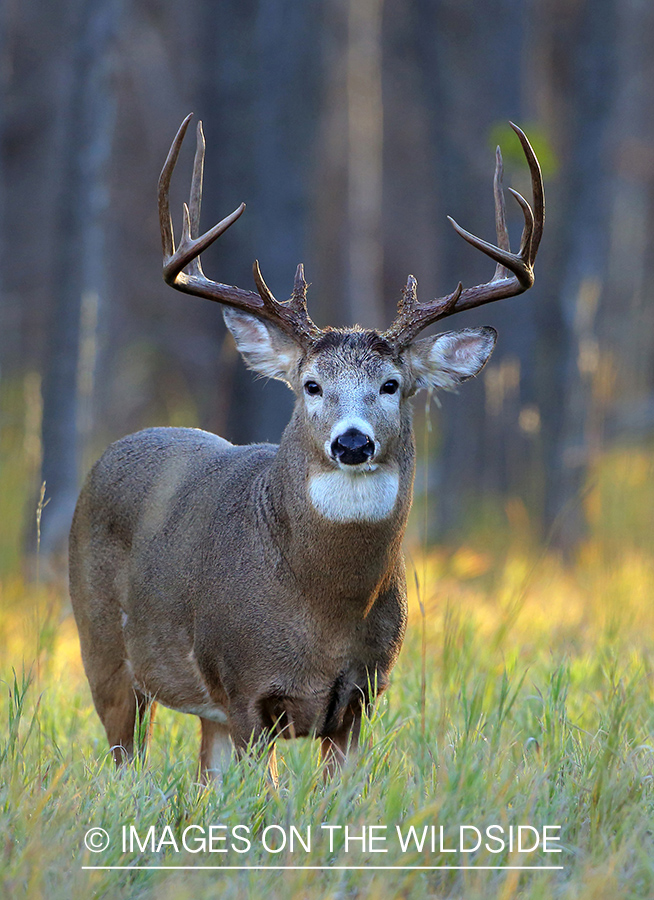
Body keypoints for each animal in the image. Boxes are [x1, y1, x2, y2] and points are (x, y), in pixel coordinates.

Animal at [69, 114, 544, 780]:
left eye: (391, 384)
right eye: (311, 384)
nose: (352, 441)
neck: (322, 608)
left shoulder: (360, 696)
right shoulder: (244, 688)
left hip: (203, 710)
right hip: (103, 650)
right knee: (124, 759)